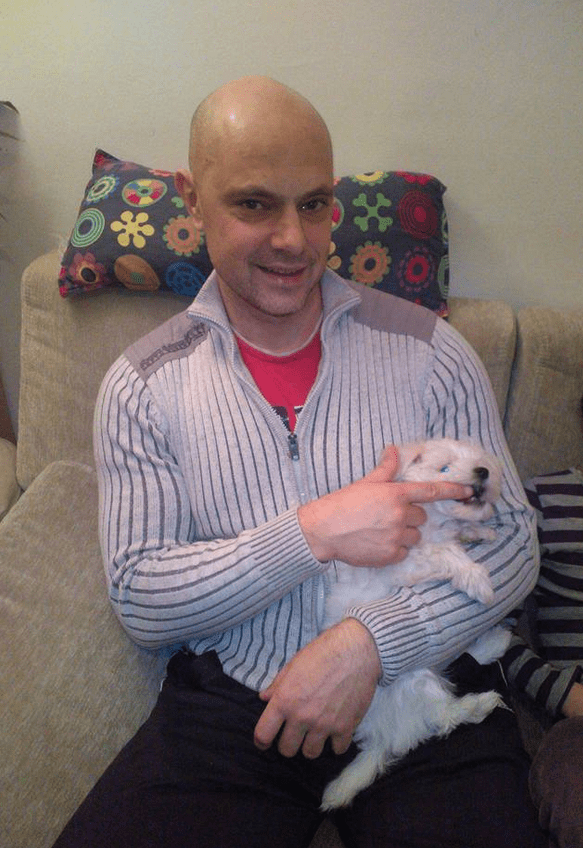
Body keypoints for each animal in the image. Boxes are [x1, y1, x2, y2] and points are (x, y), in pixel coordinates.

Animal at [320, 439, 511, 811]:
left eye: (479, 460)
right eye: (444, 468)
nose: (483, 471)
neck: (431, 520)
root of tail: (380, 737)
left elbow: (460, 532)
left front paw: (481, 532)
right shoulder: (405, 560)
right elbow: (445, 553)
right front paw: (477, 577)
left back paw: (495, 642)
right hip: (416, 681)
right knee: (442, 717)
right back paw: (480, 702)